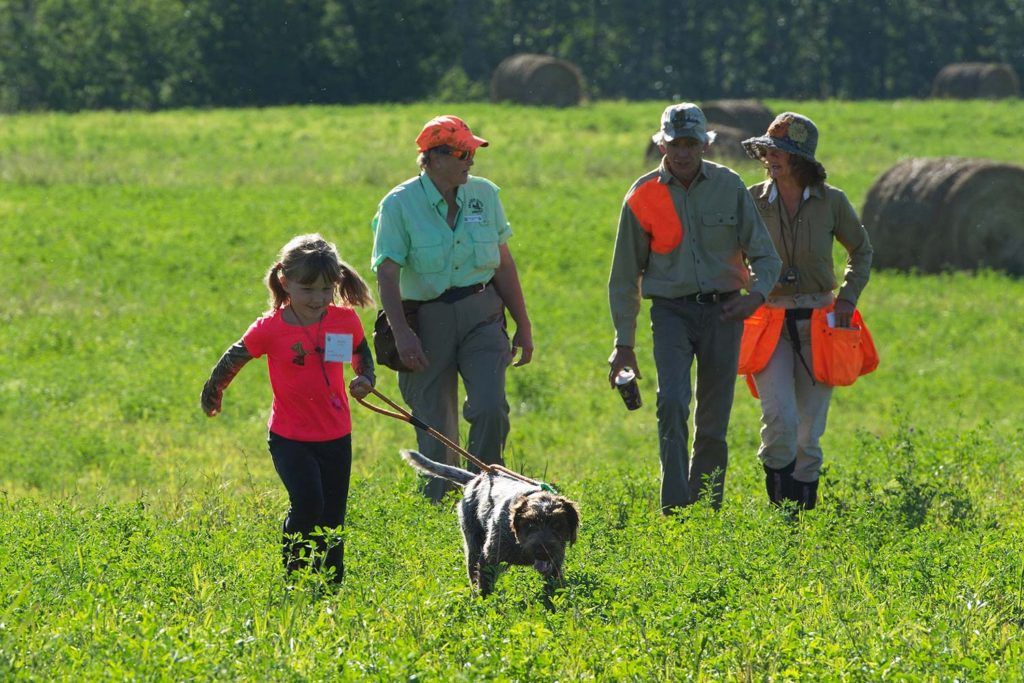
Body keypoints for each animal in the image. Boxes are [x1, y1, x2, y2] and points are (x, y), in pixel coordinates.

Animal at [399, 450, 581, 593]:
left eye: (557, 525)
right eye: (530, 524)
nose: (543, 551)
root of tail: (477, 479)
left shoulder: (554, 565)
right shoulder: (488, 559)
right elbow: (484, 591)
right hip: (472, 547)